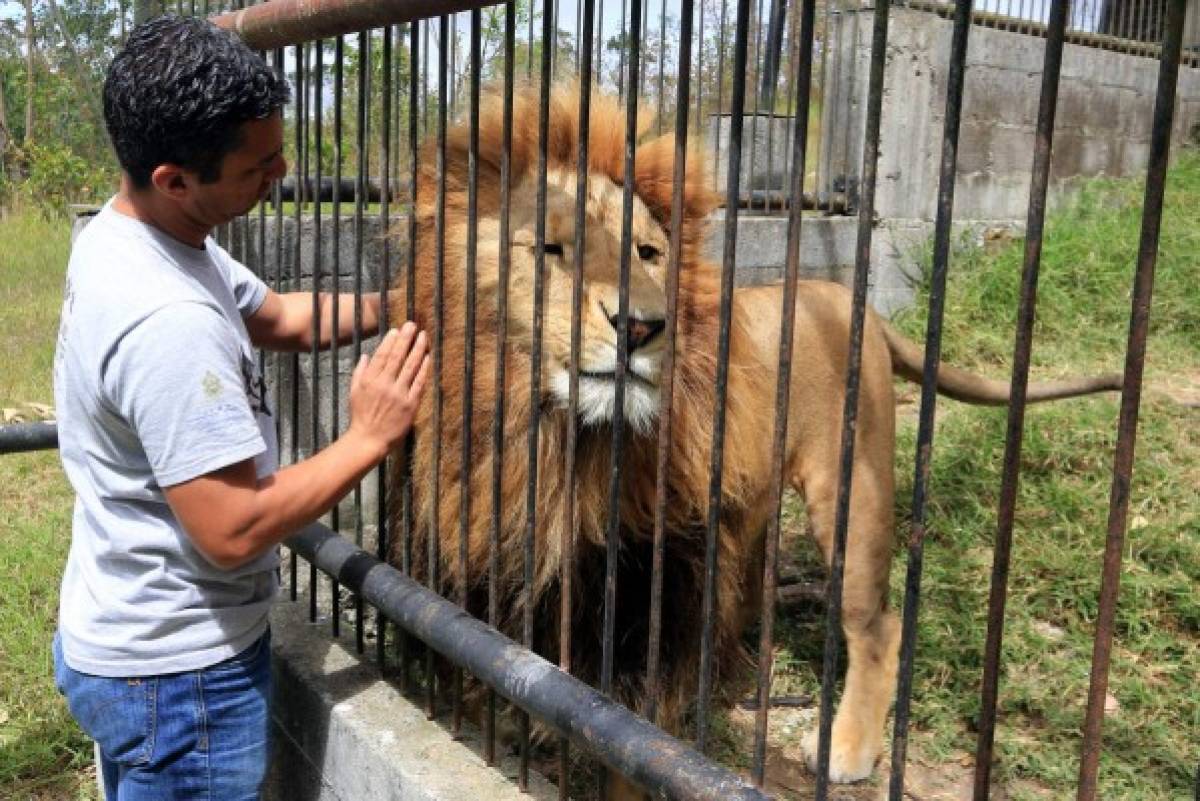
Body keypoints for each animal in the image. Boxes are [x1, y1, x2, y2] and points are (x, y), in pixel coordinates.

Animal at [386, 84, 1123, 791]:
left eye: (648, 254)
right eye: (549, 248)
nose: (643, 326)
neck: (547, 431)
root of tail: (854, 302)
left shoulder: (650, 610)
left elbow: (635, 745)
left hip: (852, 492)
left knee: (877, 625)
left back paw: (847, 747)